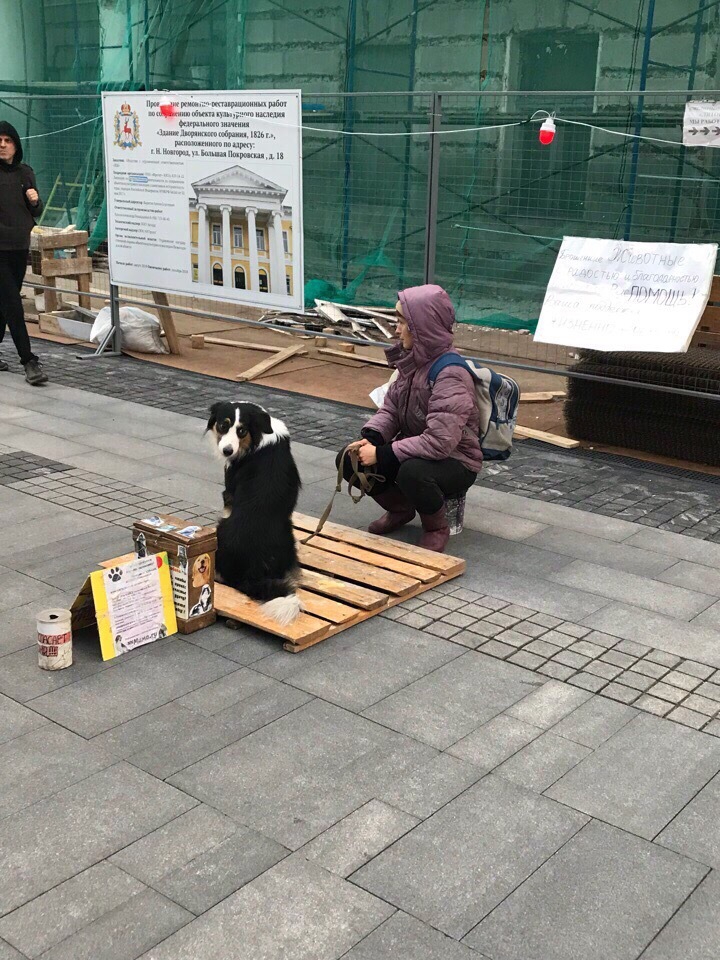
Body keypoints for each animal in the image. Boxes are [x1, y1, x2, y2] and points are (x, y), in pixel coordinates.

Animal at [207, 402, 302, 628]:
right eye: (223, 425)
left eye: (242, 430)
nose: (227, 451)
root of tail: (248, 573)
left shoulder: (229, 494)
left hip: (222, 528)